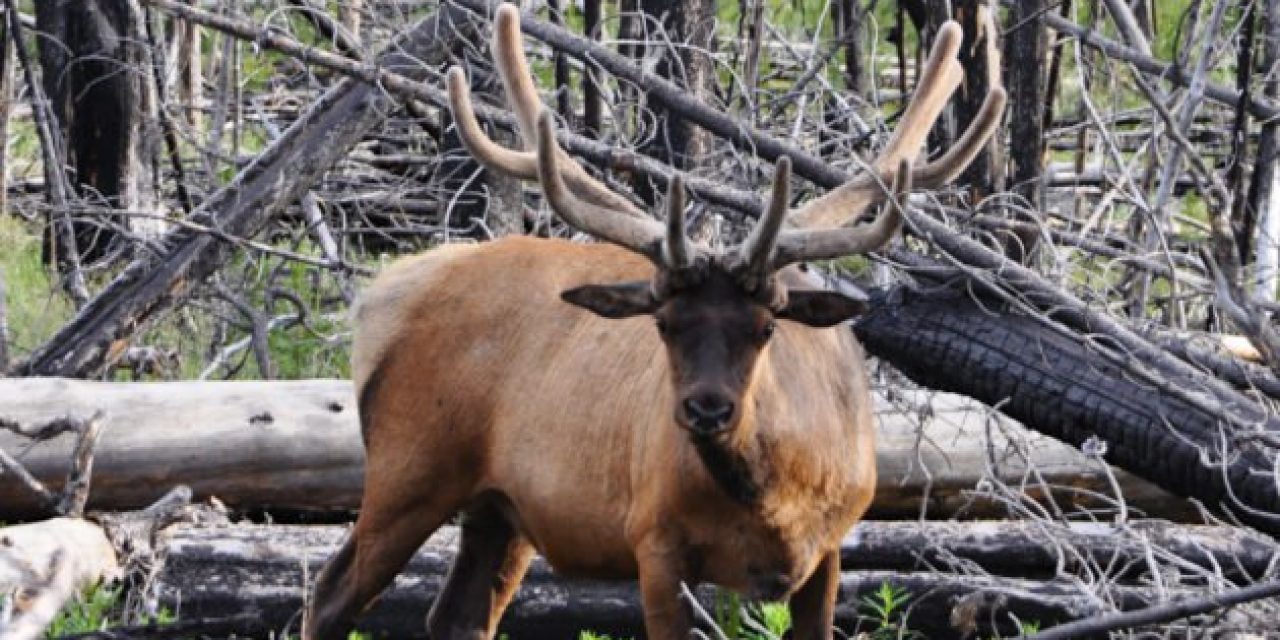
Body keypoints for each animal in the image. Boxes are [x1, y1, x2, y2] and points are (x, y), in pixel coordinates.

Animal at [304, 6, 1003, 640]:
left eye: (767, 327)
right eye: (663, 323)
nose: (705, 408)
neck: (777, 501)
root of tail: (381, 296)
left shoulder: (830, 547)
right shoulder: (655, 541)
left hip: (500, 507)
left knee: (460, 616)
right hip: (408, 466)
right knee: (331, 593)